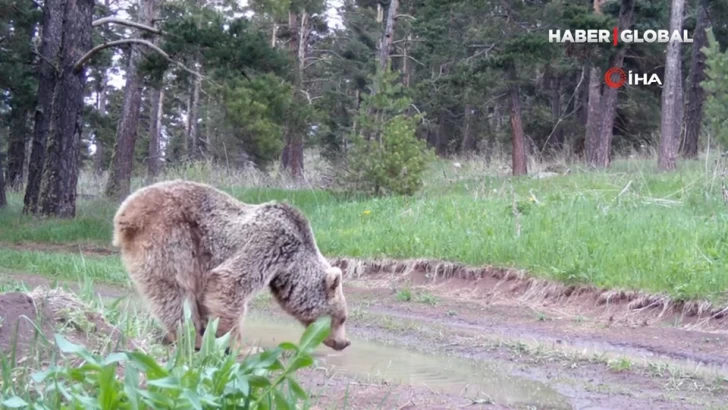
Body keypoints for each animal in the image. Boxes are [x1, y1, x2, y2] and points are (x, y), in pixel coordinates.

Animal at [112, 179, 352, 352]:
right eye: (342, 318)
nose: (344, 343)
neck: (292, 264)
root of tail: (125, 212)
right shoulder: (269, 244)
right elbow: (230, 283)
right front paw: (240, 346)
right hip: (172, 239)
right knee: (174, 293)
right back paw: (190, 337)